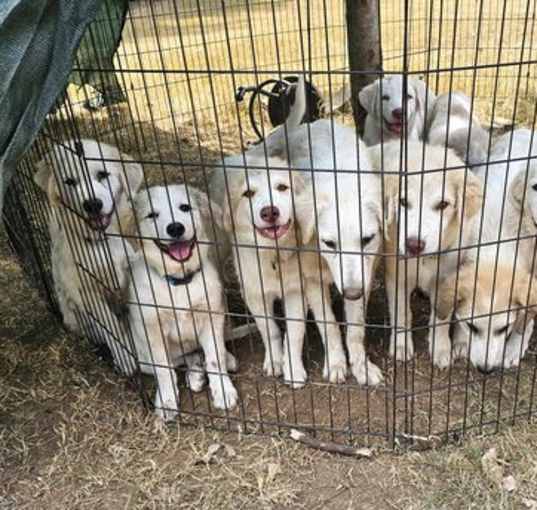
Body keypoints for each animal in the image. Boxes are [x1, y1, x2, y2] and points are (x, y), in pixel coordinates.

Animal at [32, 138, 142, 374]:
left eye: (102, 174)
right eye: (70, 181)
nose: (92, 204)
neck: (101, 243)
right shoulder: (86, 291)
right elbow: (111, 326)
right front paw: (125, 357)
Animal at [126, 185, 238, 420]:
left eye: (184, 207)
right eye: (152, 215)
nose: (175, 228)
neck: (179, 282)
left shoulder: (212, 317)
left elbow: (215, 359)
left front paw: (223, 390)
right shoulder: (152, 329)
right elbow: (163, 368)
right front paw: (167, 401)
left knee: (203, 353)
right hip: (142, 353)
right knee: (180, 360)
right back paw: (194, 375)